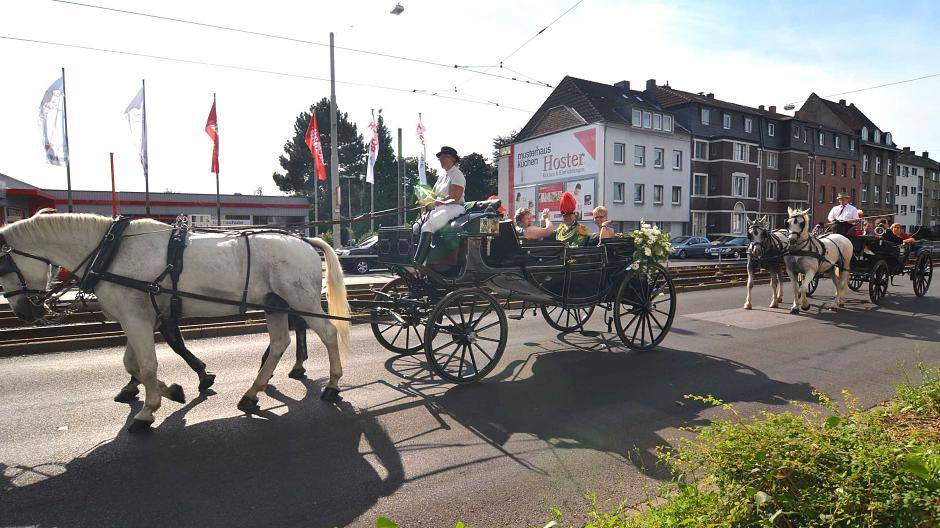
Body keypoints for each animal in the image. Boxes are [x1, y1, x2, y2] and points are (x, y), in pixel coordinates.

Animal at [0, 212, 350, 432]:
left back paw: (332, 385)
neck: (110, 250)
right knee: (279, 342)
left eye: (3, 267)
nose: (24, 312)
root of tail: (305, 241)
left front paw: (148, 409)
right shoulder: (138, 316)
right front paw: (171, 390)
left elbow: (147, 365)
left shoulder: (137, 318)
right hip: (274, 304)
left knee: (328, 332)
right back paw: (252, 393)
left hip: (301, 301)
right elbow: (132, 364)